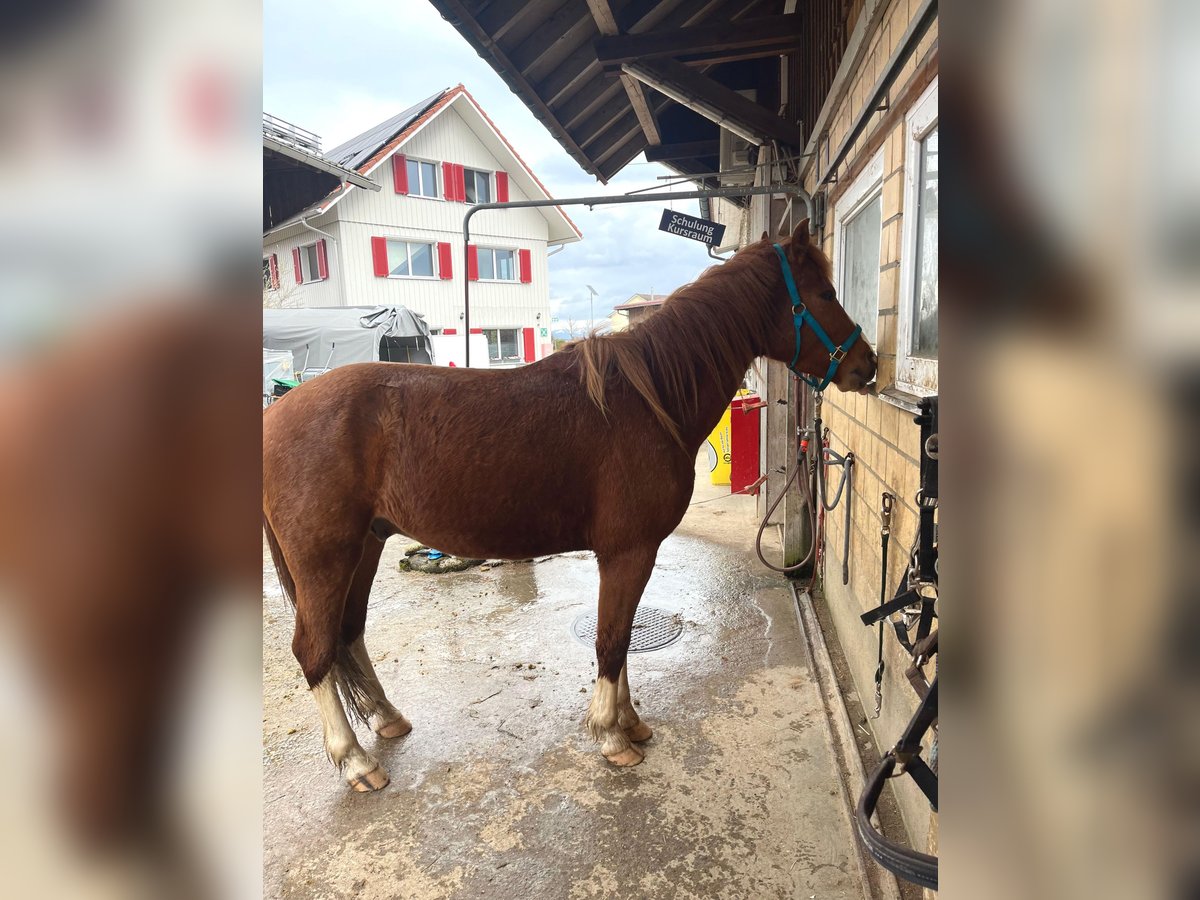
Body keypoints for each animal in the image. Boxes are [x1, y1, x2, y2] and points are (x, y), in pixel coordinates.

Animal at [262, 221, 877, 791]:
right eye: (823, 293)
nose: (866, 366)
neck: (648, 401)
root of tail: (276, 413)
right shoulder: (628, 552)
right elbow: (611, 640)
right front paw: (611, 735)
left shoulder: (631, 554)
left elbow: (621, 641)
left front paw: (630, 722)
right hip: (324, 560)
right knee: (313, 650)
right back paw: (354, 761)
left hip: (365, 546)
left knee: (349, 633)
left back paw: (387, 719)